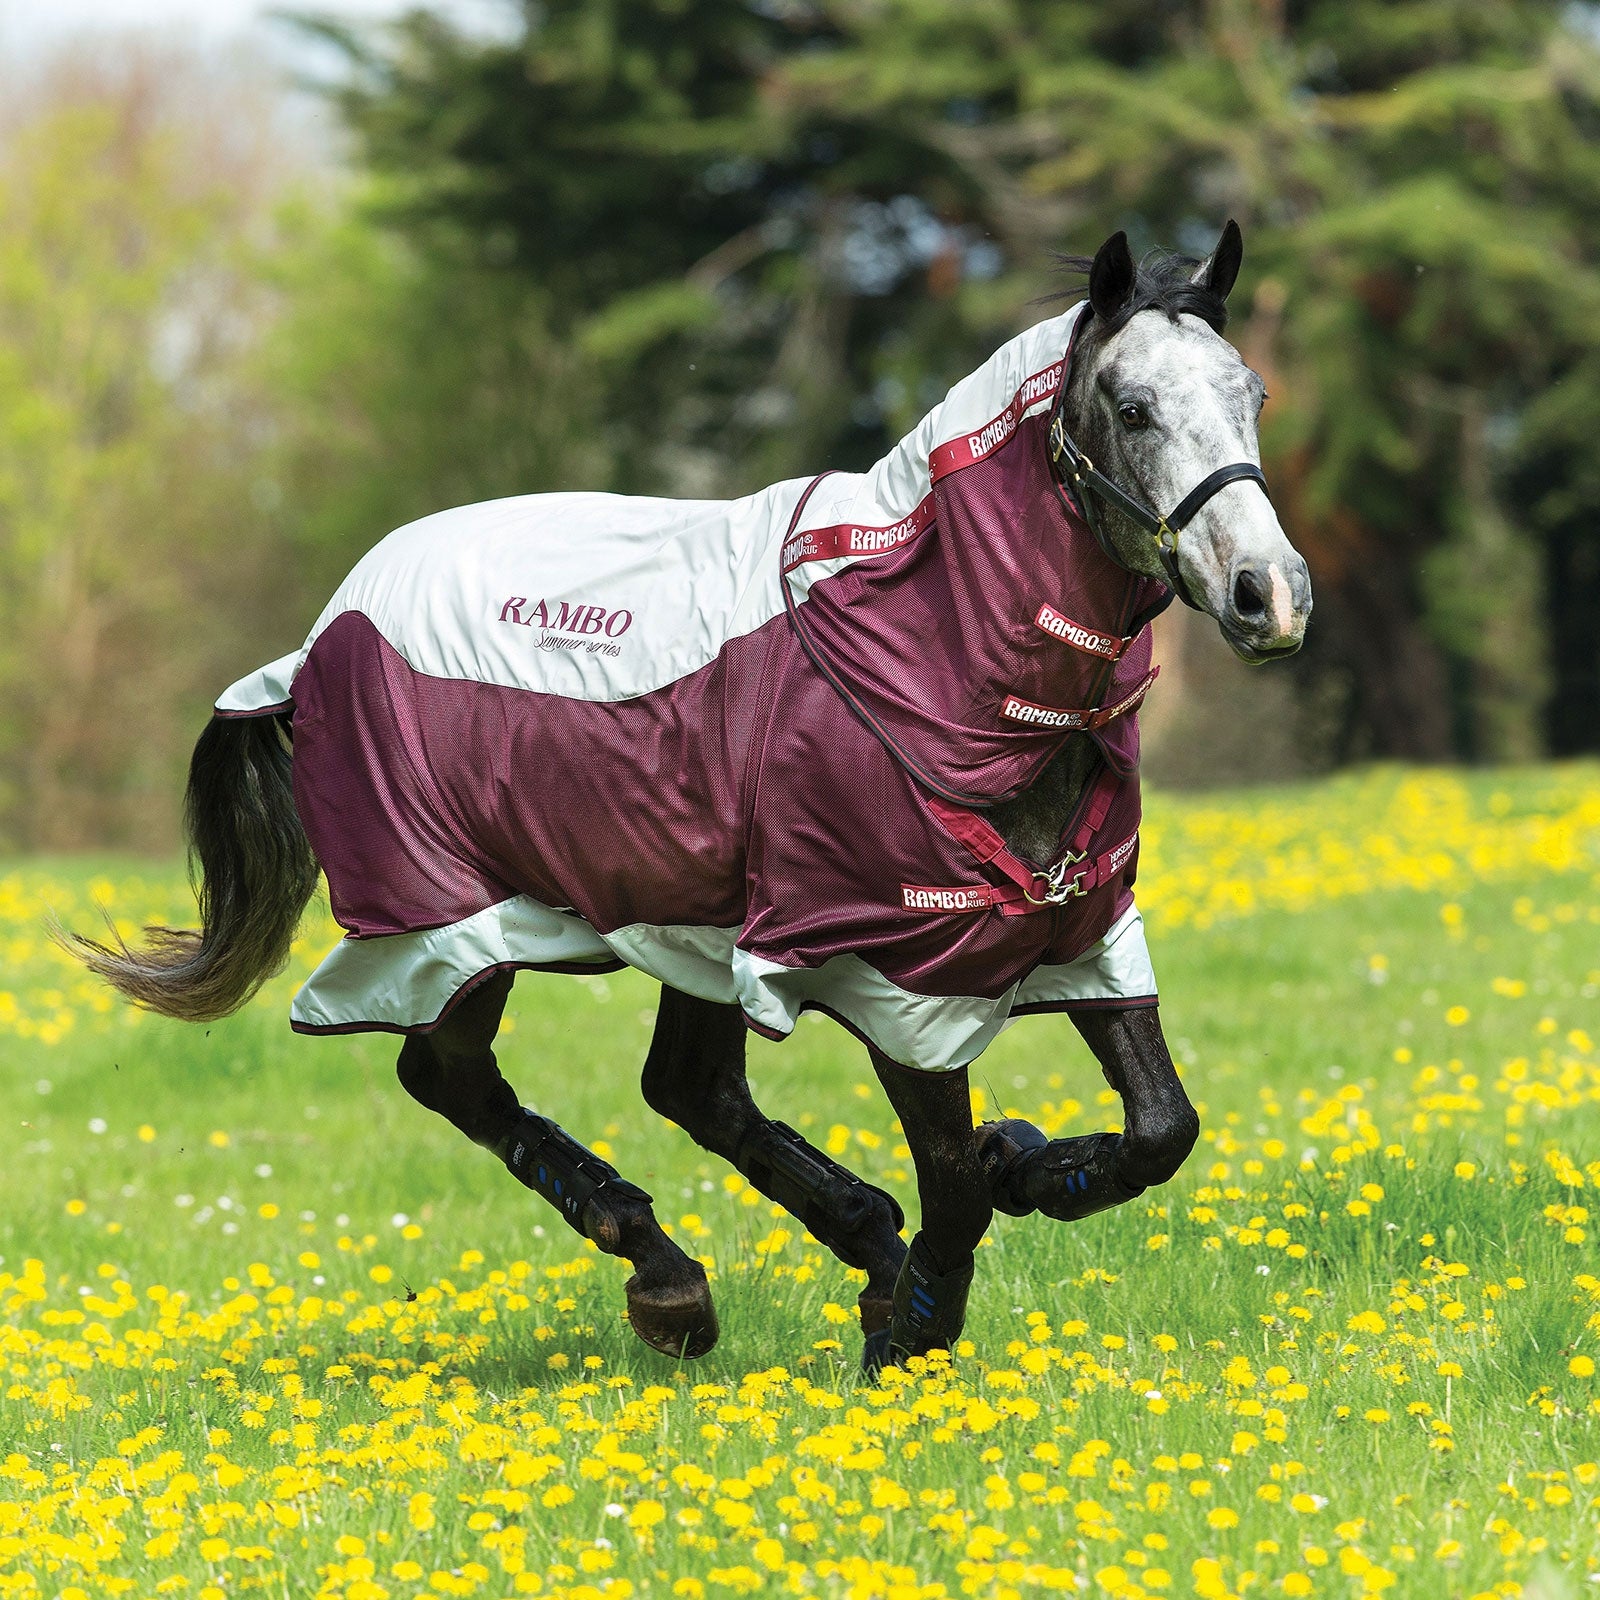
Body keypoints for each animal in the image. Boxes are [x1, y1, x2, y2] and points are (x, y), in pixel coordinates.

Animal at [65, 224, 1311, 1372]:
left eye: (1248, 392)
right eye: (1134, 408)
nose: (1271, 593)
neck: (928, 657)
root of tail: (322, 634)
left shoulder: (1080, 925)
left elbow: (1161, 1129)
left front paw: (1016, 1171)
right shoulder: (903, 975)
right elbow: (958, 1181)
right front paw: (915, 1327)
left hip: (685, 918)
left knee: (685, 1087)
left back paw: (840, 1245)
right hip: (449, 922)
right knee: (452, 1073)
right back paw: (673, 1279)